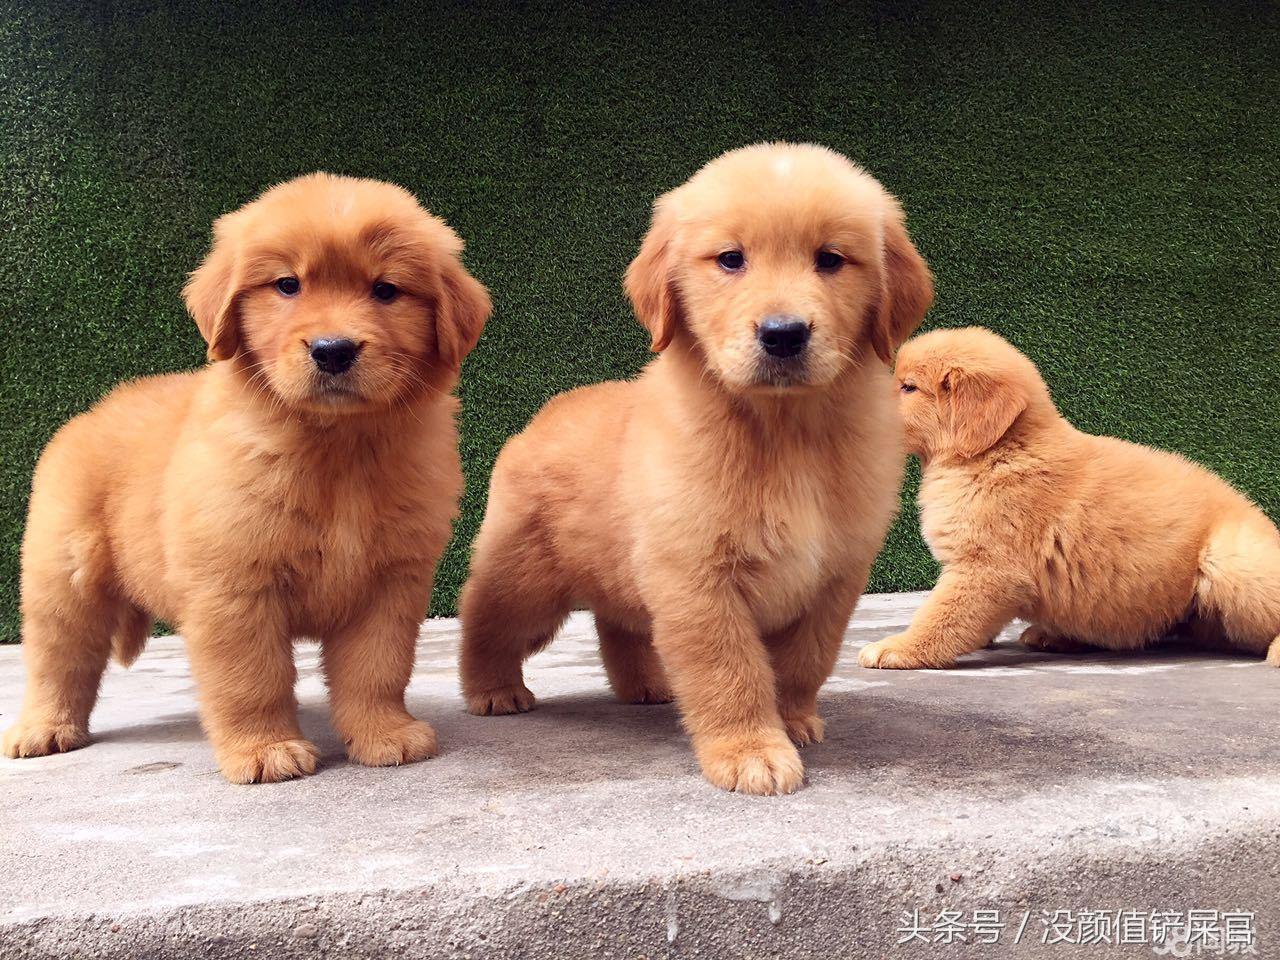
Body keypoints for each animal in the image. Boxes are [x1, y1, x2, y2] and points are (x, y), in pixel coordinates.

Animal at [3, 173, 490, 782]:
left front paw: (384, 734)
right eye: (287, 285)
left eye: (385, 290)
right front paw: (264, 749)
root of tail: (94, 411)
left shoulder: (389, 584)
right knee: (59, 660)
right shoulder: (234, 584)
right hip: (64, 577)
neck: (335, 449)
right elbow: (251, 678)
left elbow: (376, 670)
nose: (333, 350)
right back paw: (43, 729)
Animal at [458, 143, 933, 795]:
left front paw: (792, 721)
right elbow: (729, 671)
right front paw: (751, 750)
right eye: (731, 260)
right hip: (525, 579)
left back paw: (648, 687)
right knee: (486, 621)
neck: (784, 435)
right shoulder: (697, 574)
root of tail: (547, 412)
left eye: (831, 260)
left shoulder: (833, 576)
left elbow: (802, 661)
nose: (783, 334)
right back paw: (494, 690)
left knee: (622, 626)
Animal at [860, 326, 1280, 669]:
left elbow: (940, 616)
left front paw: (898, 647)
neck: (998, 452)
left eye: (908, 387)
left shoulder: (986, 569)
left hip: (1230, 559)